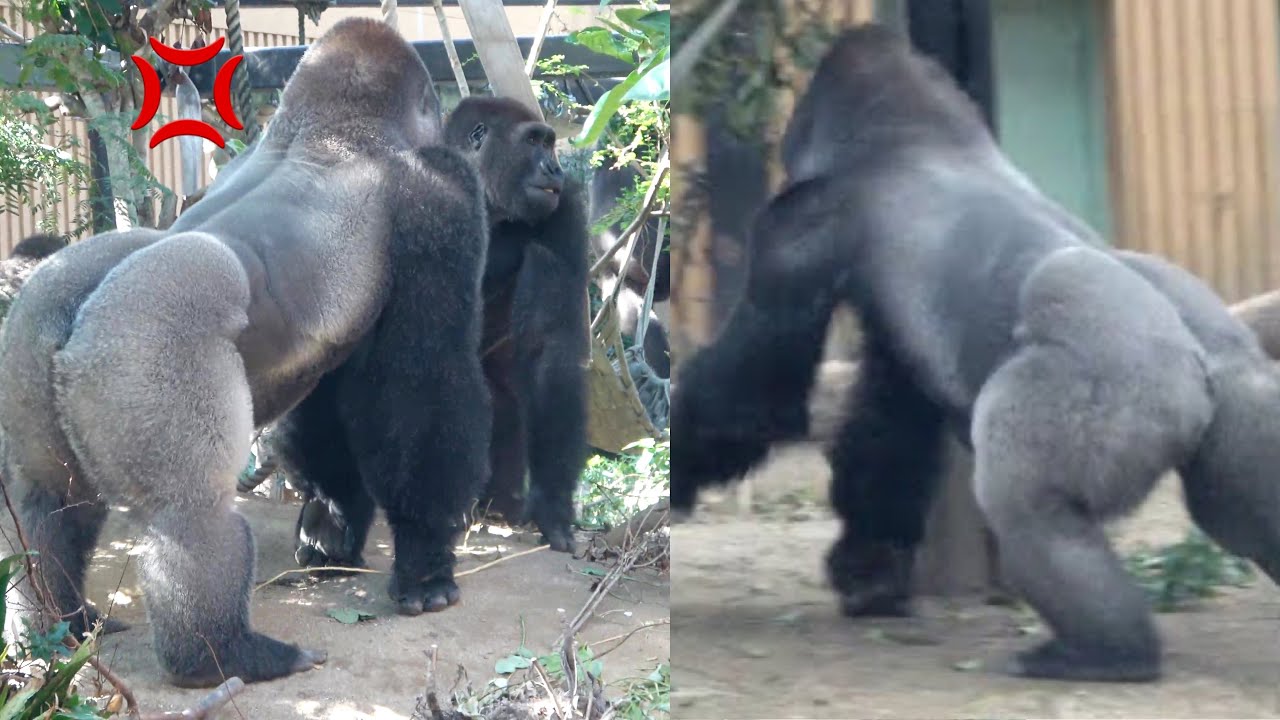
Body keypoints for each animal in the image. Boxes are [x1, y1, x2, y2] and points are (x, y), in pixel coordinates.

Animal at [0, 17, 490, 687]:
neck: (327, 126)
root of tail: (69, 317)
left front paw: (334, 526)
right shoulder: (440, 190)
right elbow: (423, 385)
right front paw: (426, 565)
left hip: (28, 340)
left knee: (47, 500)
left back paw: (60, 624)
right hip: (147, 339)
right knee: (192, 513)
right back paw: (221, 655)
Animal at [670, 23, 1280, 683]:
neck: (914, 133)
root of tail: (1194, 376)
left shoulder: (798, 228)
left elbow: (750, 402)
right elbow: (889, 425)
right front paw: (871, 569)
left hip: (1113, 391)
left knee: (1027, 503)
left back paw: (1106, 652)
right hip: (1243, 399)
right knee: (1240, 512)